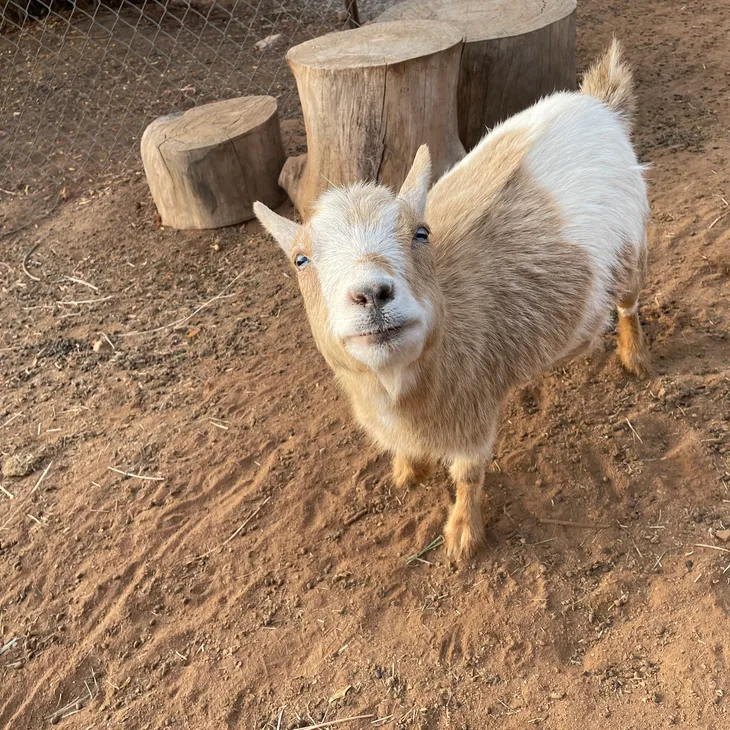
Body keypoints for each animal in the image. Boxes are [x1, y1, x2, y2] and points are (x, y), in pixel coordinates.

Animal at [254, 40, 651, 560]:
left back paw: (633, 356)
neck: (398, 385)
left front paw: (463, 535)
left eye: (421, 233)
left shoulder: (473, 408)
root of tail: (598, 104)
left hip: (630, 244)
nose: (372, 293)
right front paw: (409, 470)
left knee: (628, 302)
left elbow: (467, 474)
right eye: (300, 259)